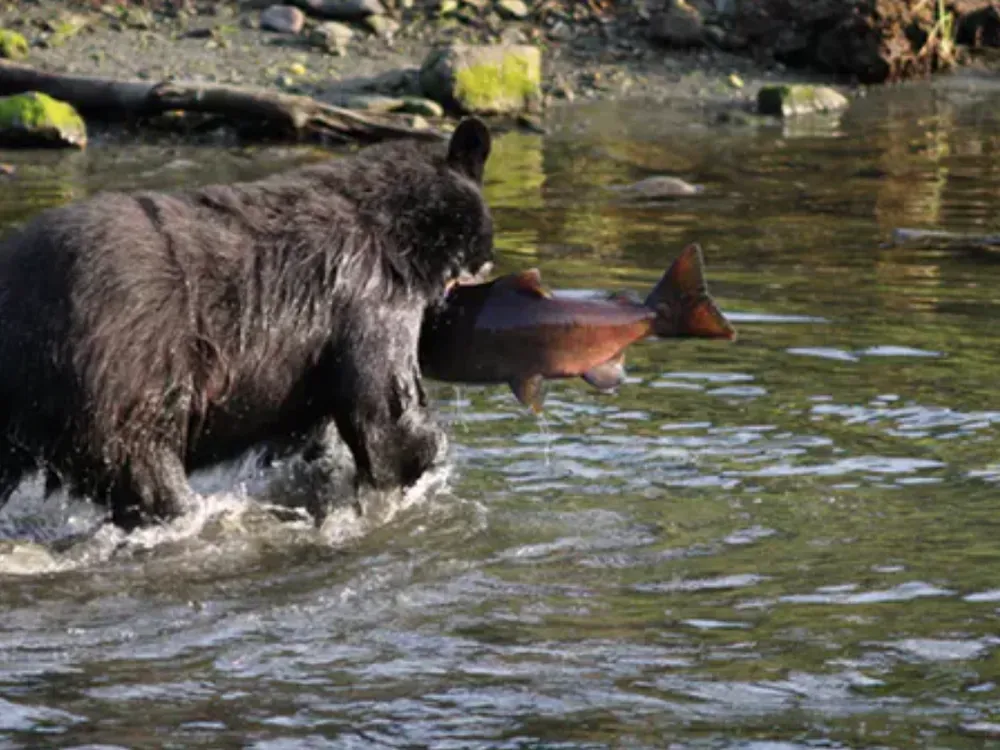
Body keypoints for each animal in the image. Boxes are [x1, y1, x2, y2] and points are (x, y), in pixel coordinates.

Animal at [0, 117, 494, 530]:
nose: (489, 266)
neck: (401, 232)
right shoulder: (368, 296)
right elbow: (385, 412)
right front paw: (425, 459)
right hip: (119, 375)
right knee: (144, 464)